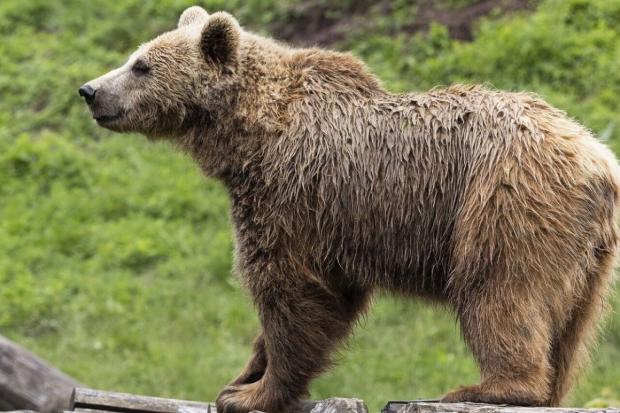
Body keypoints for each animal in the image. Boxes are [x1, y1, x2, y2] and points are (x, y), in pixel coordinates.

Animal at [80, 6, 620, 412]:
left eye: (141, 65)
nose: (90, 91)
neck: (251, 136)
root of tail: (599, 160)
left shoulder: (292, 195)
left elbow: (291, 290)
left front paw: (252, 393)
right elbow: (324, 298)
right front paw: (242, 375)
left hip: (504, 200)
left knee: (498, 288)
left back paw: (489, 387)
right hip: (590, 259)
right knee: (570, 330)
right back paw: (547, 390)